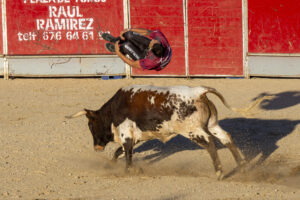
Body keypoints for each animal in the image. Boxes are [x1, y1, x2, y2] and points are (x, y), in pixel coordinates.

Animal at [66, 84, 264, 180]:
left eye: (91, 125)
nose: (97, 147)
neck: (116, 107)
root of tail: (199, 92)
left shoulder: (126, 135)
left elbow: (126, 153)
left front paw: (127, 171)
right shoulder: (135, 137)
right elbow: (119, 152)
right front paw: (111, 166)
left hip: (193, 130)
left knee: (209, 143)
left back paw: (219, 173)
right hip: (213, 125)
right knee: (227, 138)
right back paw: (242, 166)